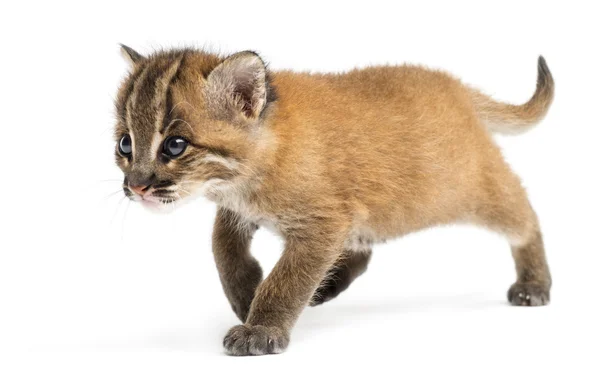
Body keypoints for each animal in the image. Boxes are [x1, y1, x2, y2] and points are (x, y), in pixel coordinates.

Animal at [112, 46, 552, 356]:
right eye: (125, 144)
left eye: (175, 145)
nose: (136, 186)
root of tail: (456, 84)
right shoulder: (244, 209)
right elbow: (222, 246)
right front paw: (245, 293)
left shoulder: (322, 223)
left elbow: (287, 278)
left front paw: (260, 328)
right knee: (362, 249)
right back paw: (327, 288)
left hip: (473, 189)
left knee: (525, 214)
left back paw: (534, 284)